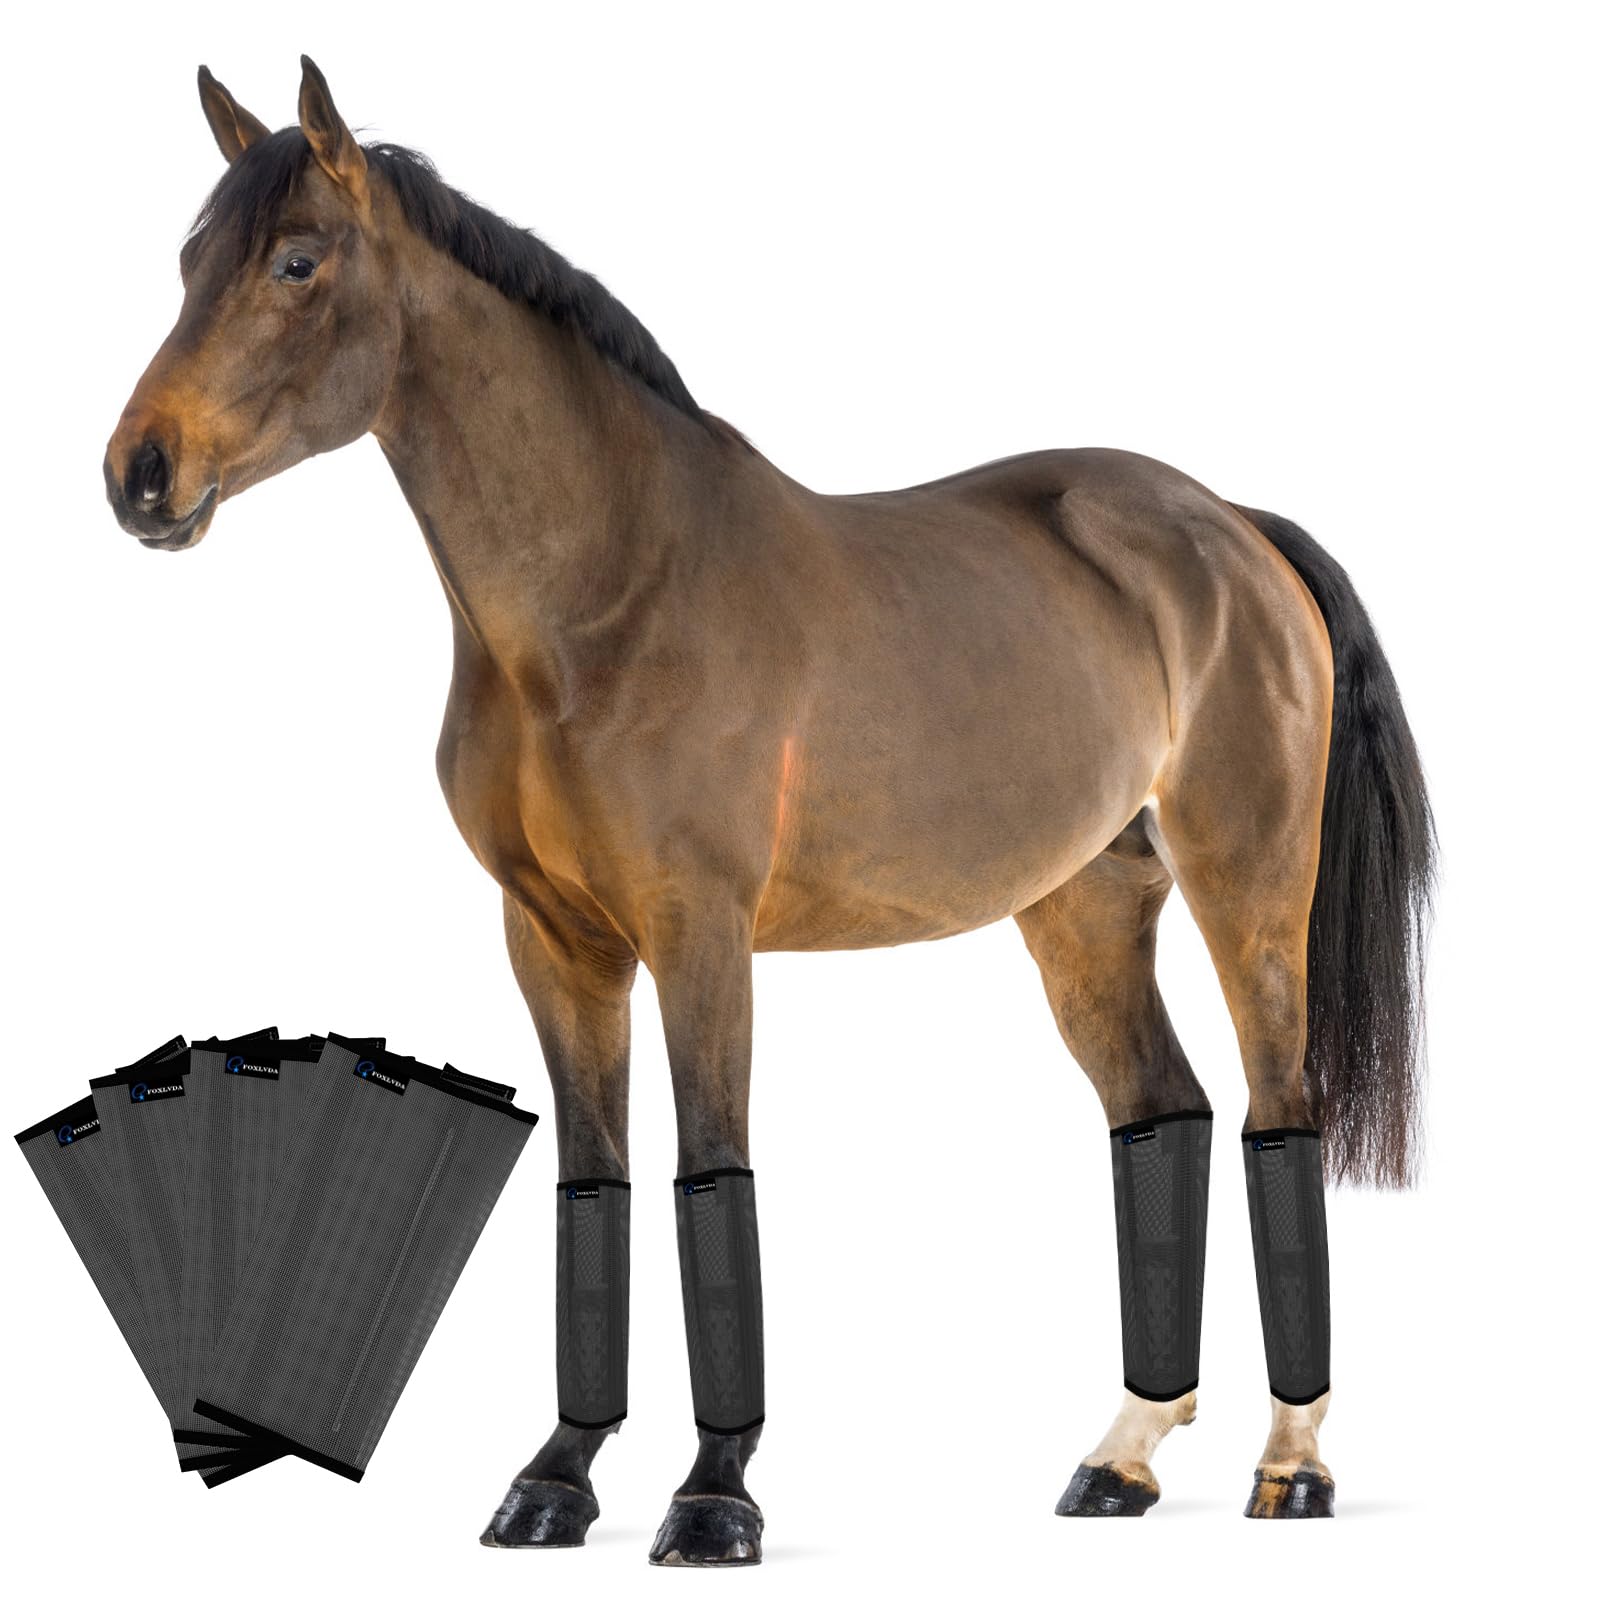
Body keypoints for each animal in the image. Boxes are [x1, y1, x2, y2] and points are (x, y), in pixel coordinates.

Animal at [105, 57, 1434, 1560]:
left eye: (296, 261)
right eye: (187, 264)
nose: (141, 473)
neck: (608, 598)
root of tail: (1232, 528)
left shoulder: (700, 934)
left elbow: (709, 1177)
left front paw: (712, 1497)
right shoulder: (553, 943)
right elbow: (594, 1185)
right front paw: (555, 1480)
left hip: (1247, 886)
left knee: (1280, 1113)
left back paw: (1294, 1467)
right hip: (1085, 912)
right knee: (1164, 1112)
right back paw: (1121, 1459)